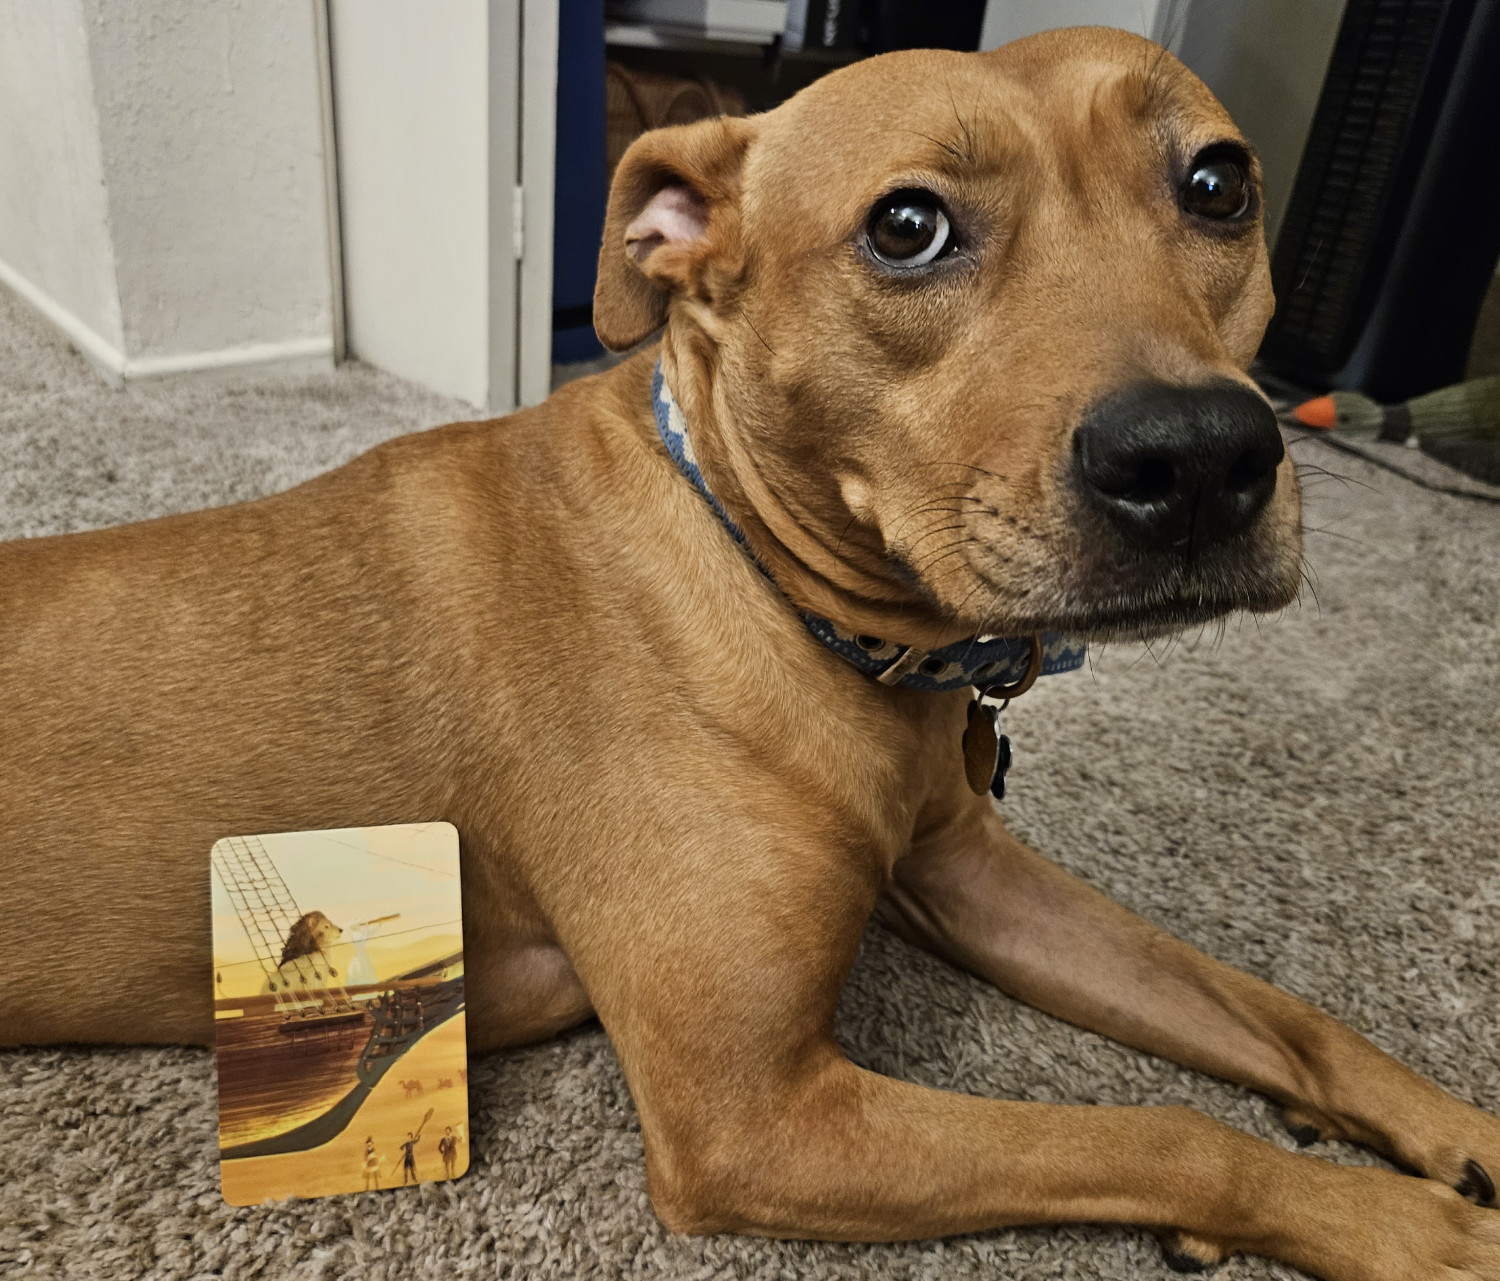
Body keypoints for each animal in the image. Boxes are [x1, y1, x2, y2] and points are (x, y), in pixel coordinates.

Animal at [2, 30, 1500, 1281]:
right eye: (908, 225)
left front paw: (1460, 1139)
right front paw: (1410, 1227)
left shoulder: (971, 879)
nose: (1197, 457)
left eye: (1219, 183)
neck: (791, 600)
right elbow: (1160, 1134)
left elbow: (1282, 1014)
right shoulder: (759, 1117)